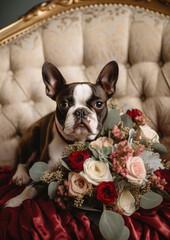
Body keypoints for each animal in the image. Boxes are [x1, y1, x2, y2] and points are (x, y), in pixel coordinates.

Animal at [4, 60, 118, 208]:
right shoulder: (42, 171)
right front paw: (15, 201)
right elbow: (30, 188)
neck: (74, 143)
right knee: (22, 161)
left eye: (99, 104)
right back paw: (20, 175)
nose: (81, 111)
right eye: (64, 104)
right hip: (31, 136)